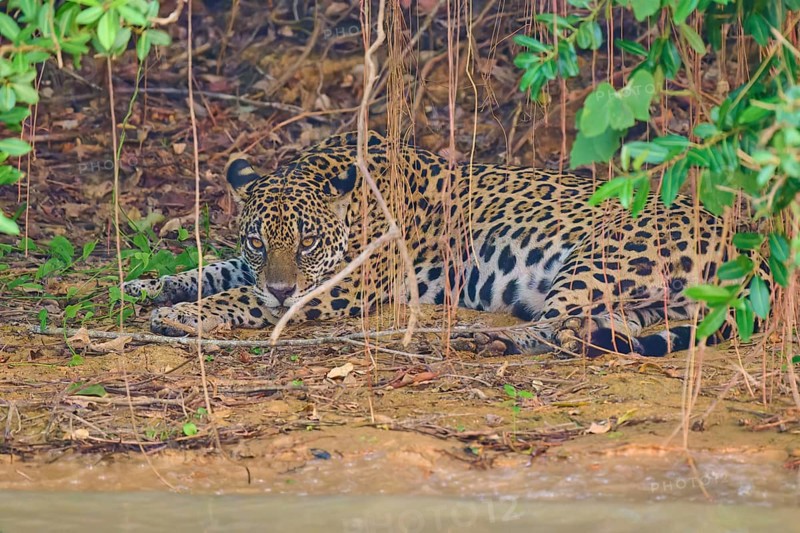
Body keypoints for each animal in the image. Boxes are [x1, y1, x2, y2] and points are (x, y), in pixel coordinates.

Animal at [124, 130, 731, 357]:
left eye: (308, 242)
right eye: (256, 240)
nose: (280, 289)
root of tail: (739, 244)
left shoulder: (347, 284)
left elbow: (240, 295)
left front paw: (181, 316)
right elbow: (219, 271)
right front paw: (152, 287)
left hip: (595, 256)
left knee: (559, 327)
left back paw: (494, 341)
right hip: (635, 296)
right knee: (600, 325)